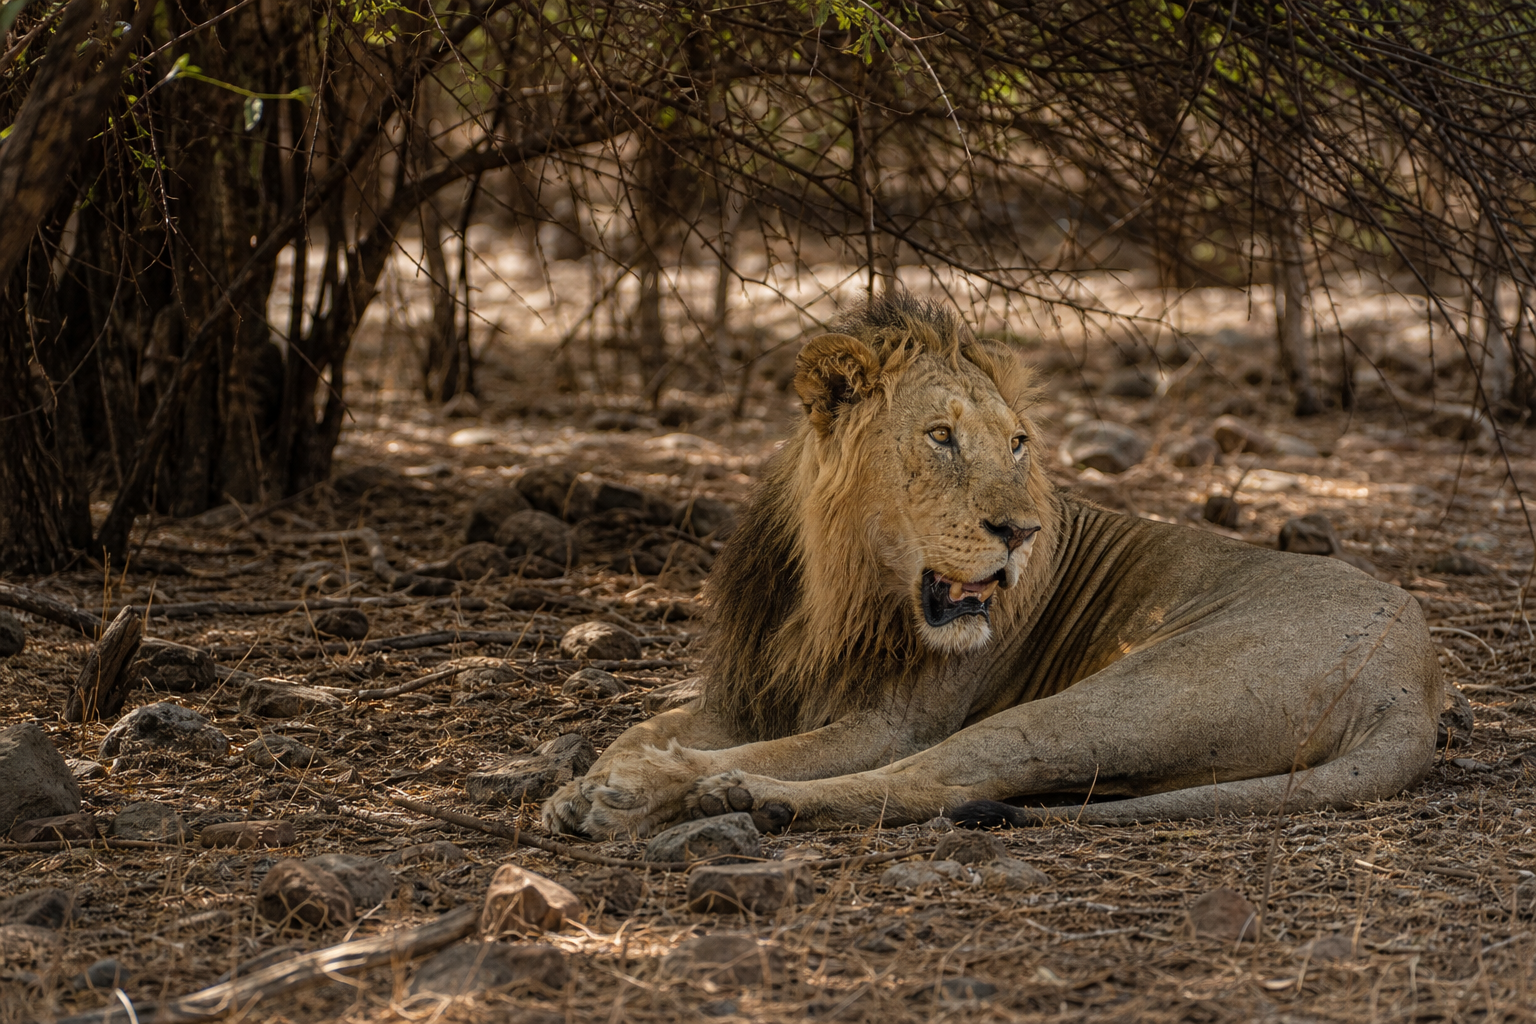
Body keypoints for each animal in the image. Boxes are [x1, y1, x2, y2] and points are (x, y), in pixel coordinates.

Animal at [543, 294, 1441, 838]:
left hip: (1131, 693)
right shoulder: (749, 695)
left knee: (936, 780)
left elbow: (772, 752)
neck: (833, 590)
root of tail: (1413, 680)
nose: (1022, 531)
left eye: (1016, 443)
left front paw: (626, 789)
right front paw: (580, 783)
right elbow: (641, 727)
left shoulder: (891, 721)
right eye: (941, 437)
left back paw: (735, 800)